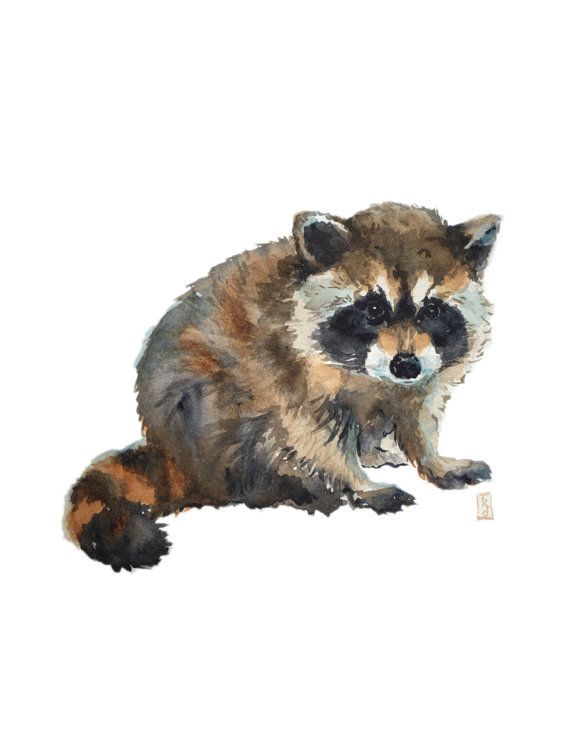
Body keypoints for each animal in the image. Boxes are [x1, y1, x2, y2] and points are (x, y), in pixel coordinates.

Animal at [65, 202, 500, 570]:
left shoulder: (424, 376)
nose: (405, 365)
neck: (371, 375)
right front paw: (356, 481)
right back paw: (292, 487)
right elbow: (313, 432)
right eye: (374, 309)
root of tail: (172, 453)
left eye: (433, 310)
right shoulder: (287, 369)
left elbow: (418, 416)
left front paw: (432, 459)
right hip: (204, 416)